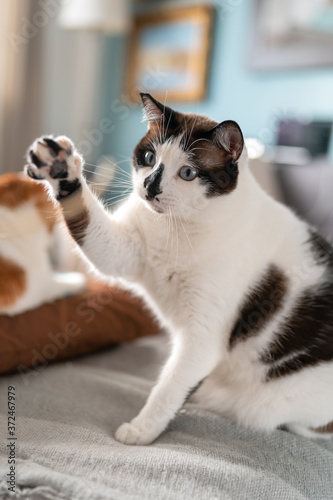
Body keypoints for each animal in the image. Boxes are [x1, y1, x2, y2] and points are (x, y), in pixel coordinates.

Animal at [24, 94, 332, 446]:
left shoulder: (202, 336)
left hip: (282, 401)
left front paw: (142, 430)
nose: (149, 186)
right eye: (148, 157)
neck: (179, 227)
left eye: (187, 172)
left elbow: (169, 387)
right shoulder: (126, 251)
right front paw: (60, 169)